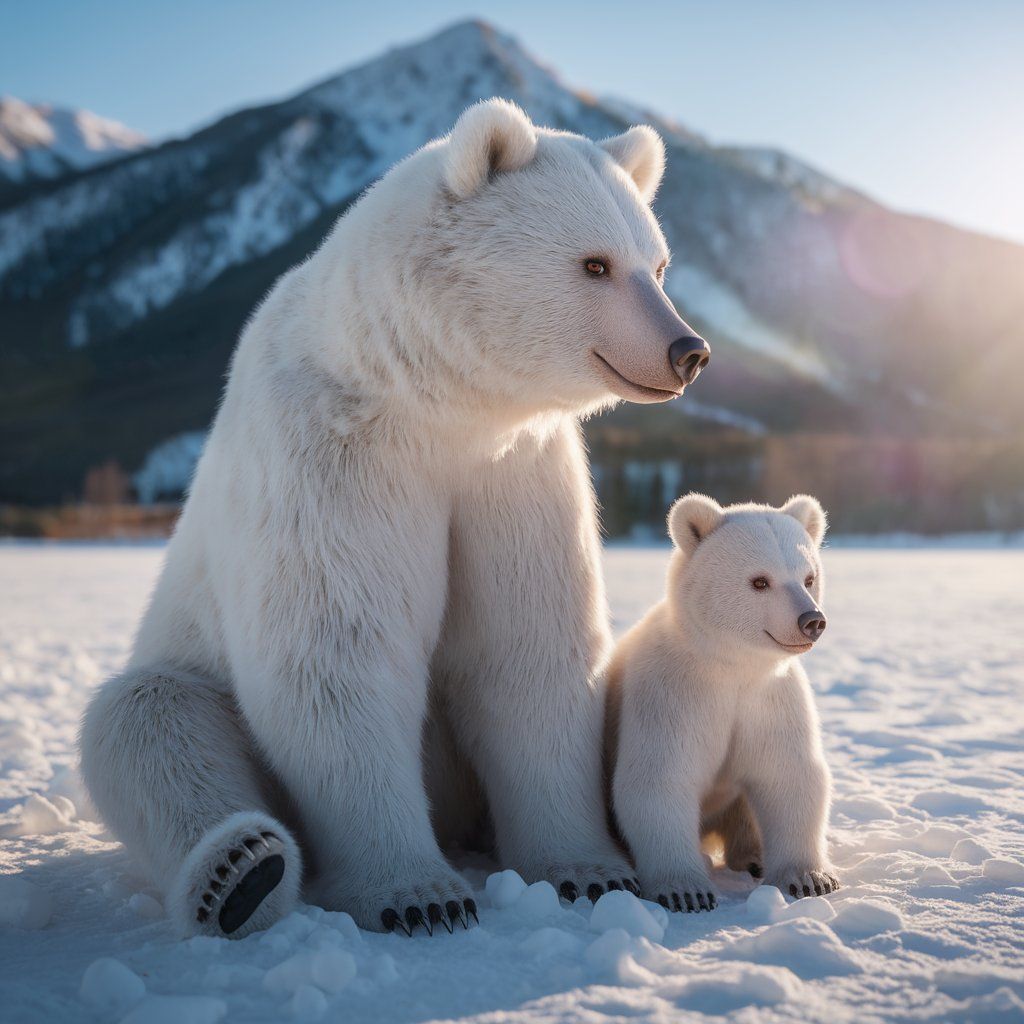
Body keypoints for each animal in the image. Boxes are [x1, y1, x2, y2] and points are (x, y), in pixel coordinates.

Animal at [77, 97, 712, 937]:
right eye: (595, 264)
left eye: (658, 264)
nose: (687, 350)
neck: (431, 401)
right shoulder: (334, 458)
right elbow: (337, 651)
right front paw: (419, 895)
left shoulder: (514, 474)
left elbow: (530, 648)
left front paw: (585, 871)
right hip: (185, 662)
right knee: (145, 720)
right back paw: (241, 870)